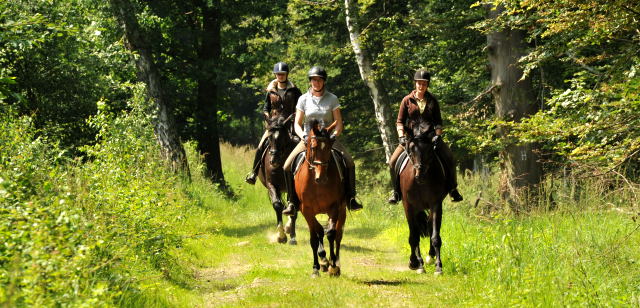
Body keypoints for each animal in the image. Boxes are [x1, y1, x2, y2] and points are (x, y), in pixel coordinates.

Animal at [258, 113, 300, 245]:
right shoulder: (272, 185)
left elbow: (293, 208)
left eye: (283, 138)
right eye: (269, 138)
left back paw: (289, 227)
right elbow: (277, 205)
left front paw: (292, 236)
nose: (273, 160)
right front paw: (281, 236)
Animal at [294, 119, 348, 276]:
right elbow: (315, 235)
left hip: (342, 211)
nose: (321, 177)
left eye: (329, 147)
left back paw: (335, 264)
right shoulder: (306, 210)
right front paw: (317, 266)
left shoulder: (334, 207)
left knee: (338, 236)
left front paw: (333, 266)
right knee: (319, 232)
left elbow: (330, 233)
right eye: (313, 147)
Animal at [400, 126, 450, 276]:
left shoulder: (436, 204)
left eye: (429, 150)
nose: (420, 174)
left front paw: (438, 267)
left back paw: (430, 257)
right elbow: (414, 236)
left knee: (429, 225)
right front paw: (415, 263)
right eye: (411, 149)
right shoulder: (409, 206)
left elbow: (435, 236)